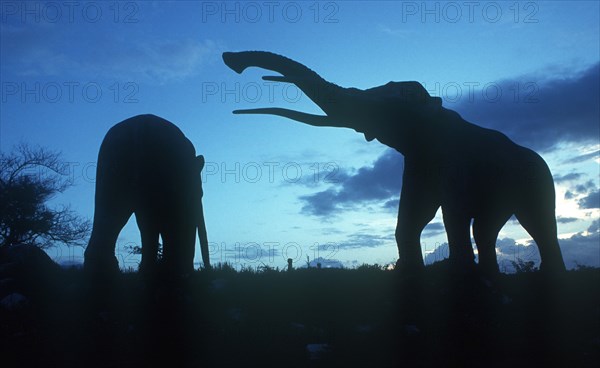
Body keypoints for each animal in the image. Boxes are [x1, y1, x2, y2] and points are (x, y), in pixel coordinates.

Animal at [224, 51, 568, 276]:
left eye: (387, 112)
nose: (232, 60)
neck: (434, 115)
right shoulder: (418, 161)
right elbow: (414, 213)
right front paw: (409, 272)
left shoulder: (453, 158)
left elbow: (450, 211)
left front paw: (457, 274)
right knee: (487, 227)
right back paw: (493, 275)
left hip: (539, 179)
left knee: (538, 224)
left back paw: (548, 276)